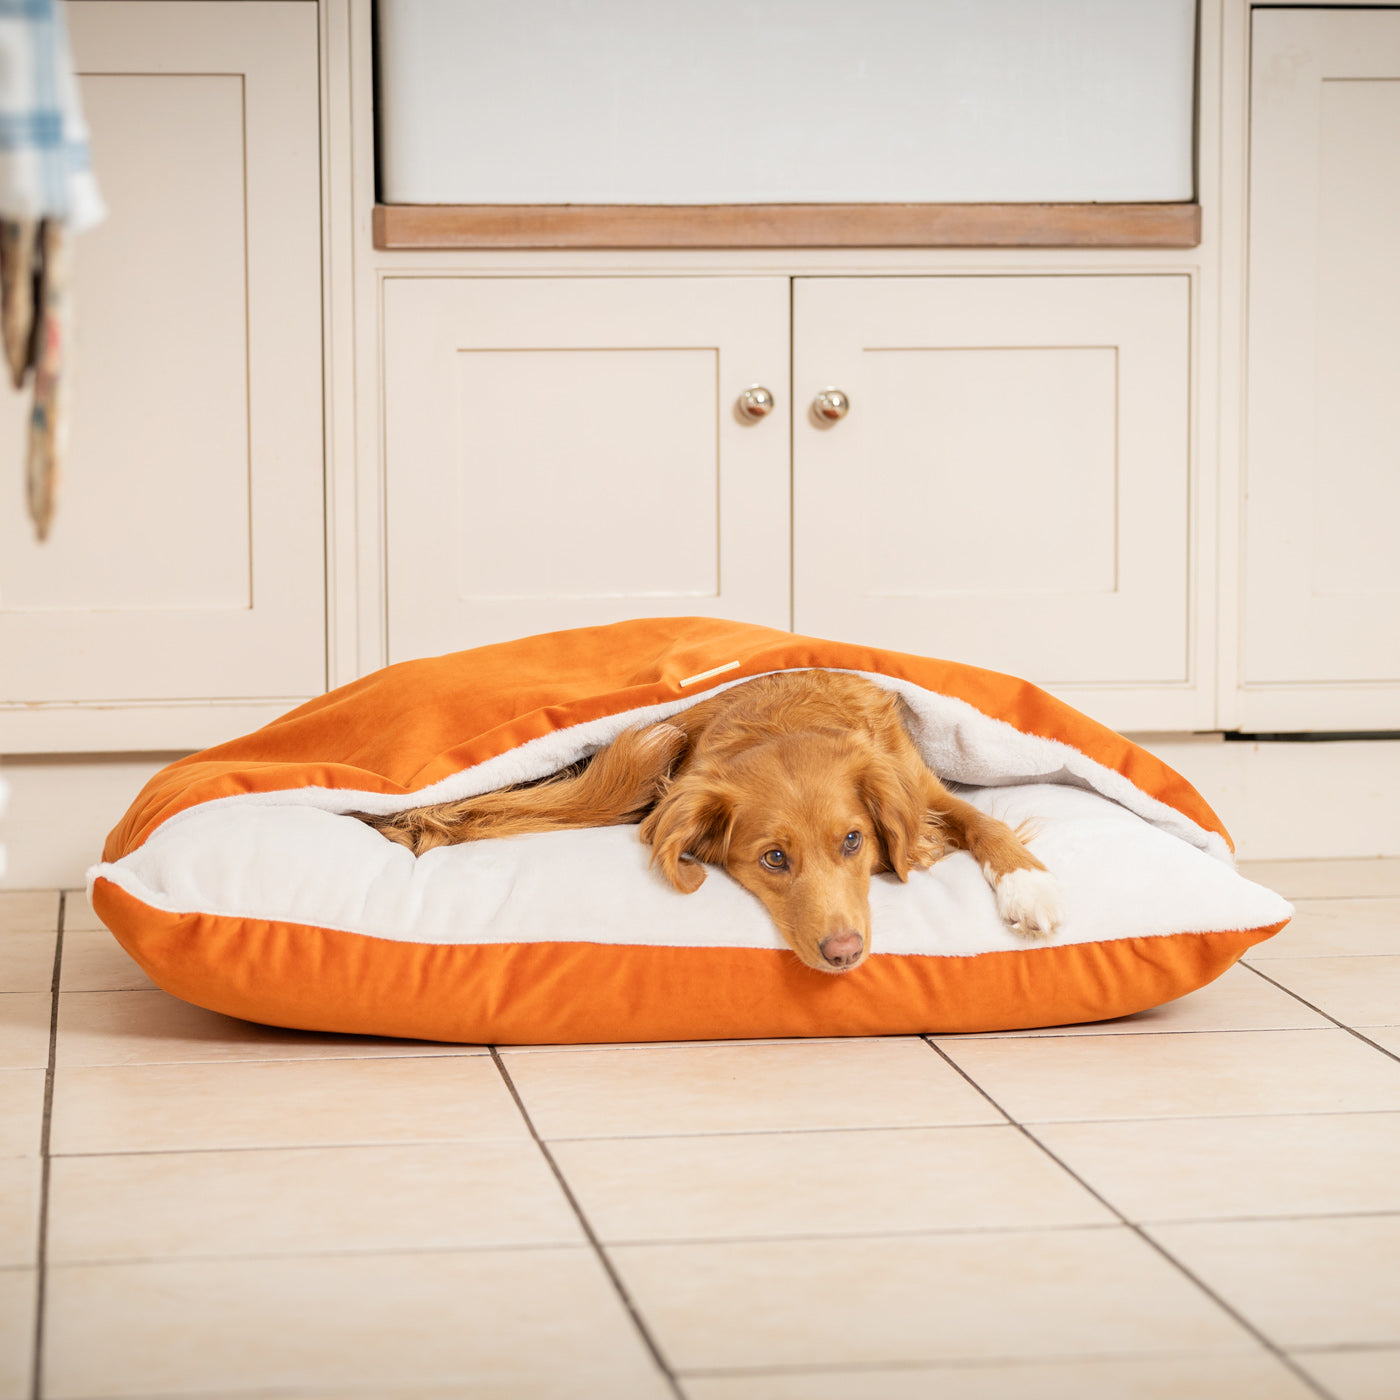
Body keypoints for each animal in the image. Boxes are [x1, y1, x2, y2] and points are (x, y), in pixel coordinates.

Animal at [358, 666, 1058, 974]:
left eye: (853, 841)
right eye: (773, 858)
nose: (845, 953)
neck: (788, 717)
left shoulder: (919, 784)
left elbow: (986, 824)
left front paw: (1030, 889)